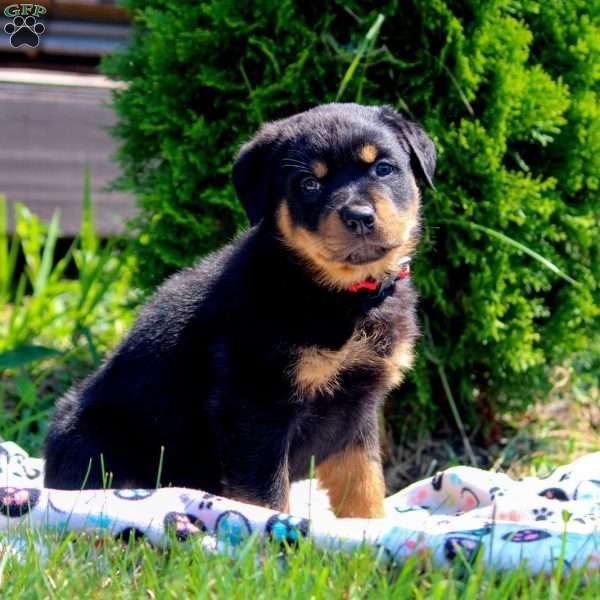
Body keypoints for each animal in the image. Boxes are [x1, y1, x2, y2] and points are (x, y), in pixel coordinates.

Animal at [43, 102, 436, 516]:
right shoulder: (255, 405)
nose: (359, 217)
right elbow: (266, 495)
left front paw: (369, 525)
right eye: (308, 184)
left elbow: (365, 483)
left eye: (383, 168)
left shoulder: (356, 408)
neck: (342, 295)